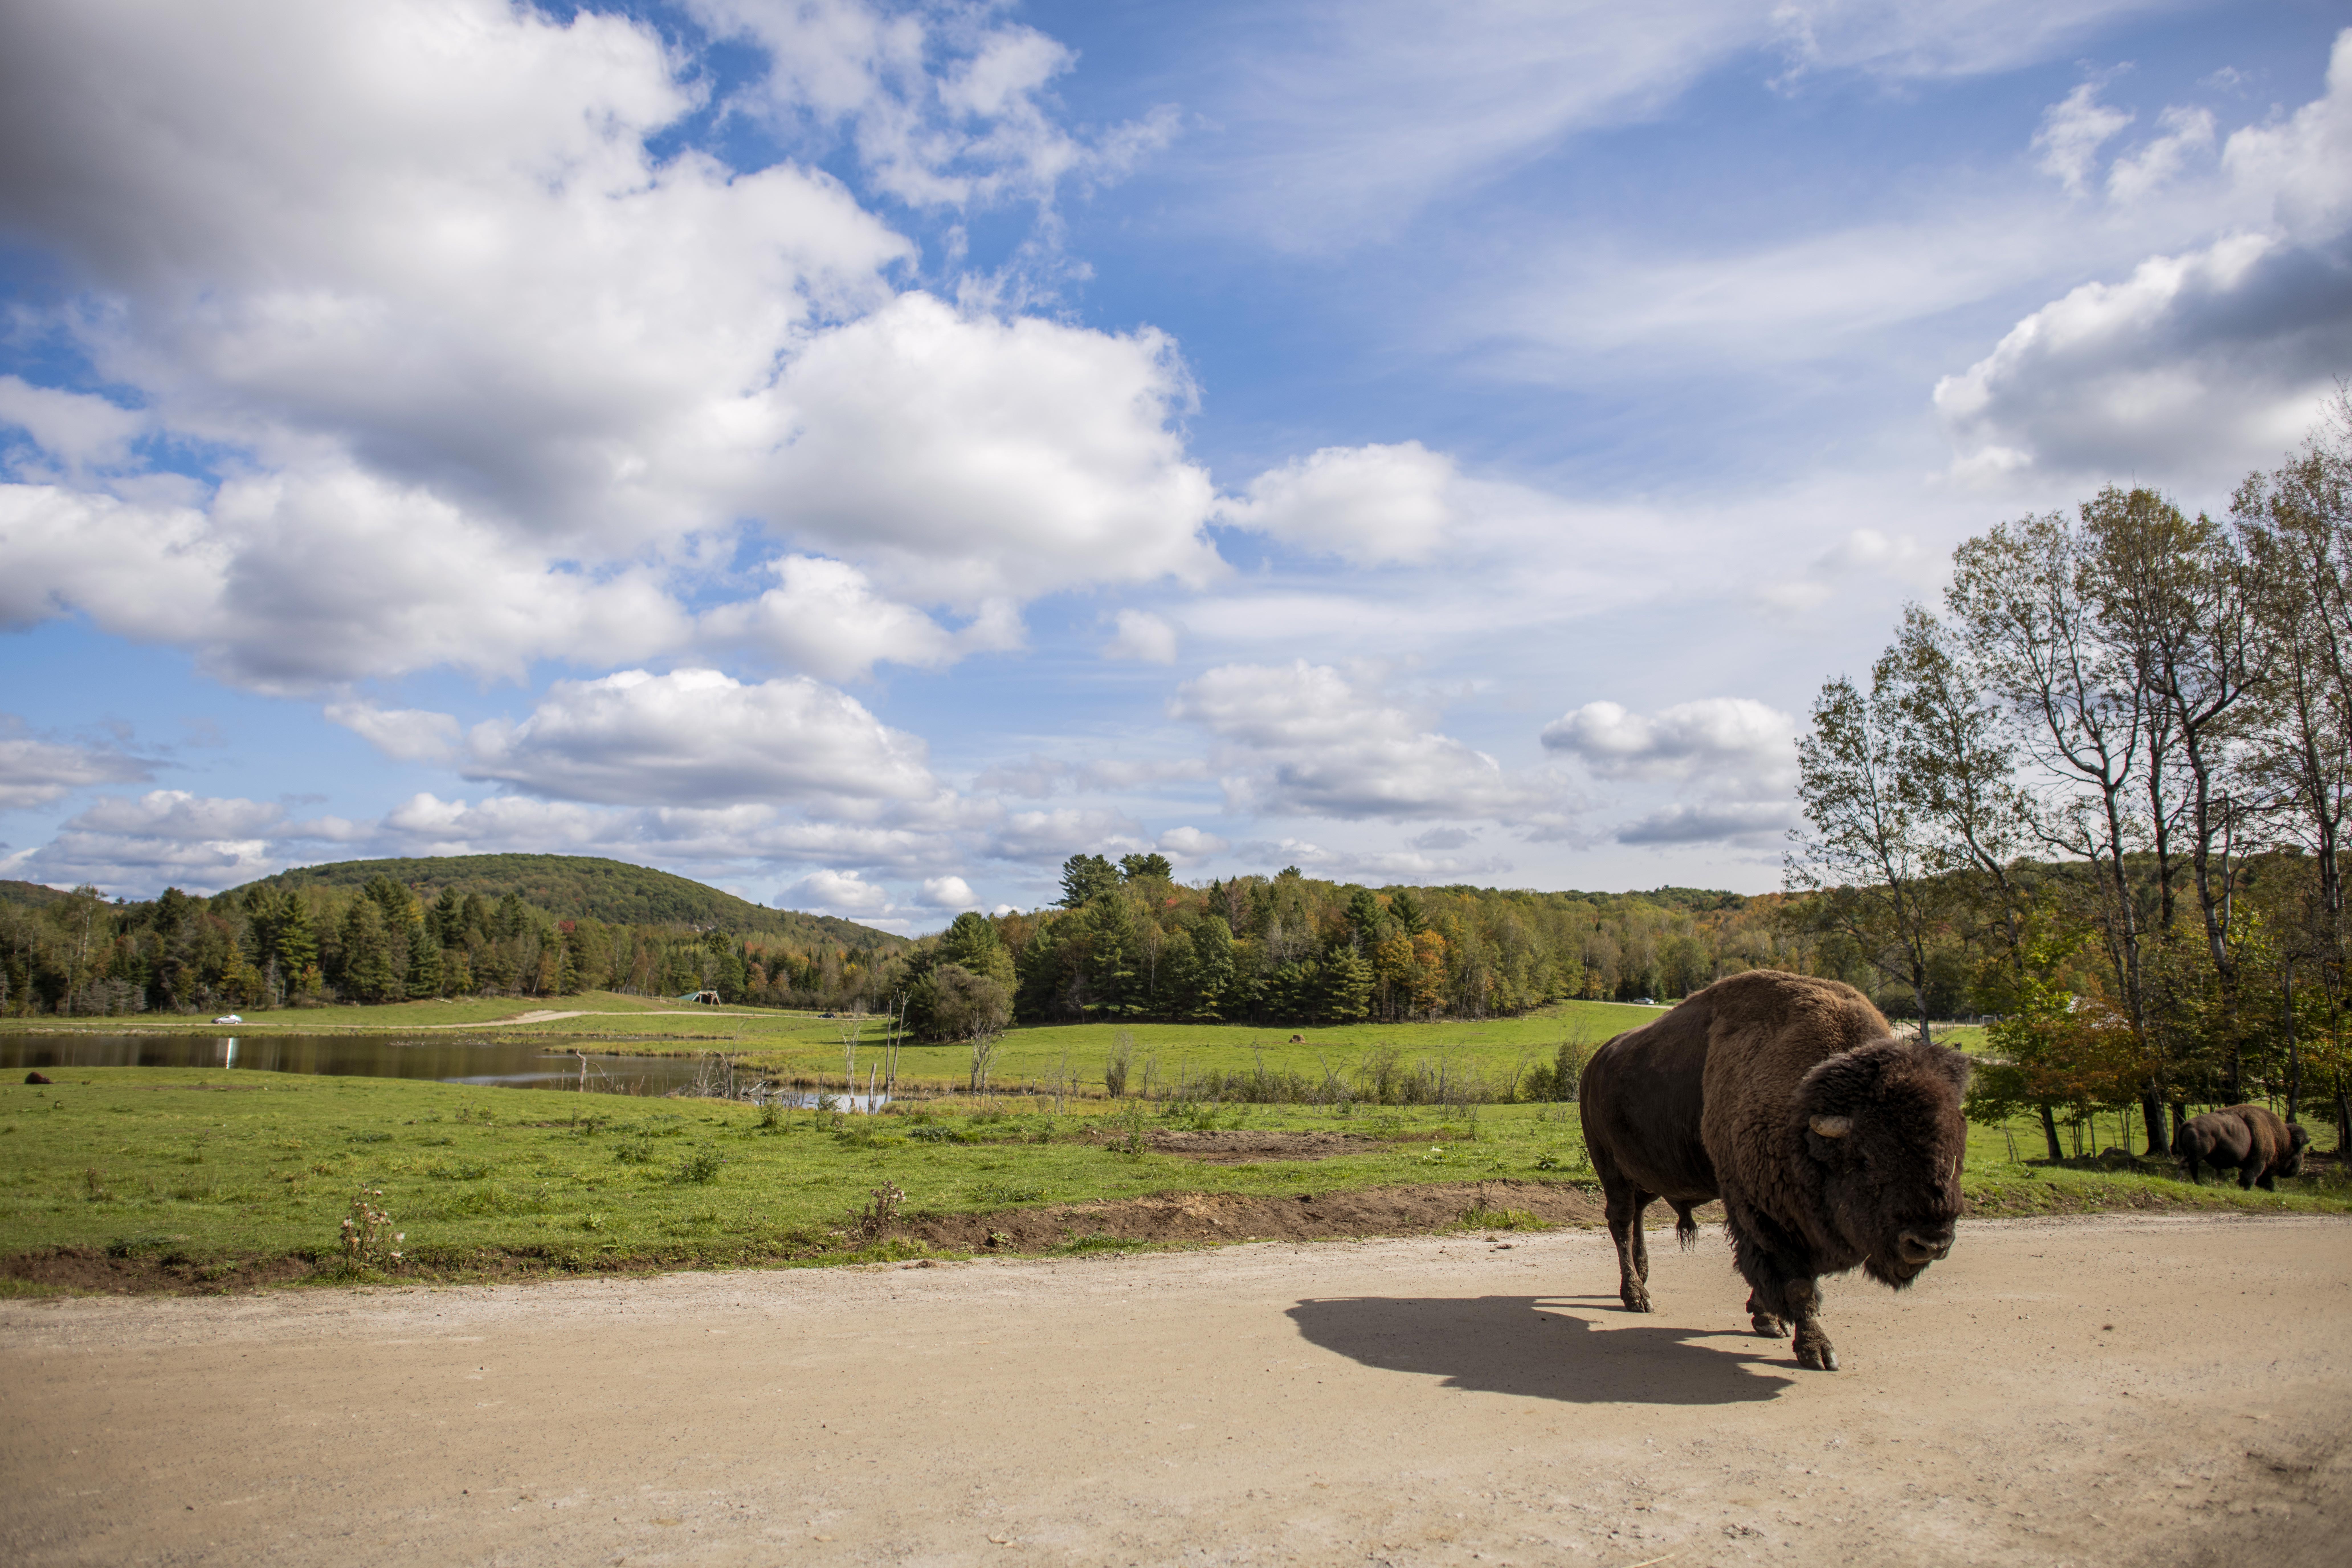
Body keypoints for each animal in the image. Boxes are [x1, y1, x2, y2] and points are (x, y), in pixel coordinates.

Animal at [1578, 969, 1971, 1372]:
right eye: (1866, 1157)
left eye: (1955, 1154)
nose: (1930, 1242)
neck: (1802, 1113)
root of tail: (1595, 1065)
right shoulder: (1766, 1215)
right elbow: (1797, 1281)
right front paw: (1817, 1349)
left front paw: (1767, 1317)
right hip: (1611, 1169)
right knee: (1622, 1223)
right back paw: (1636, 1296)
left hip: (1648, 1175)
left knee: (1638, 1216)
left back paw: (1642, 1277)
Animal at [2177, 1104, 2308, 1191]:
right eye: (2300, 1151)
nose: (2297, 1170)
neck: (2278, 1138)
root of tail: (2188, 1123)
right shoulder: (2259, 1163)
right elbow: (2250, 1177)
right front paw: (2246, 1190)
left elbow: (2264, 1181)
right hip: (2197, 1154)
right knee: (2185, 1164)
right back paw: (2180, 1180)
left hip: (2195, 1156)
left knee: (2193, 1168)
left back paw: (2198, 1184)